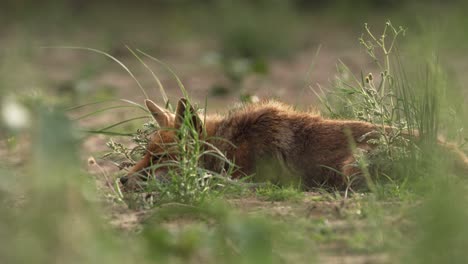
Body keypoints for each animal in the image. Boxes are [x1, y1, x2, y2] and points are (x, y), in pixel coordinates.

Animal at [120, 98, 468, 189]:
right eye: (146, 154)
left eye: (161, 158)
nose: (121, 180)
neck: (230, 144)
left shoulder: (253, 177)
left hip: (352, 167)